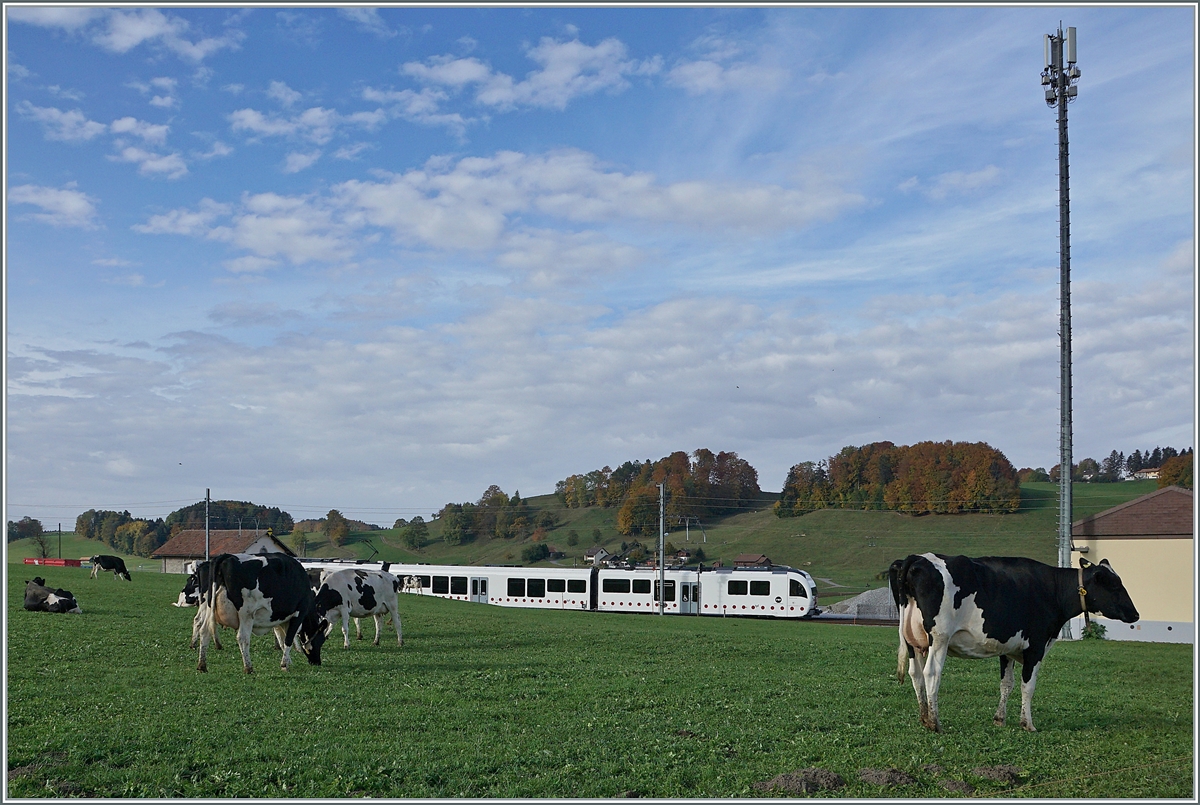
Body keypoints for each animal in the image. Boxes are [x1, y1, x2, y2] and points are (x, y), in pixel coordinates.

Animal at [196, 554, 328, 671]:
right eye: (321, 640)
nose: (317, 662)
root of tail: (226, 556)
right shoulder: (299, 613)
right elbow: (288, 639)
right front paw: (285, 664)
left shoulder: (279, 618)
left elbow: (281, 639)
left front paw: (288, 661)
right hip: (246, 614)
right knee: (242, 637)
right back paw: (248, 667)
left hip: (208, 606)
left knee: (204, 631)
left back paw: (202, 666)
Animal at [892, 554, 1142, 739]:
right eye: (1114, 585)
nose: (1136, 614)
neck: (1053, 590)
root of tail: (918, 558)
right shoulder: (1036, 647)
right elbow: (1027, 687)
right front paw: (1027, 724)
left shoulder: (1008, 647)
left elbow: (1006, 684)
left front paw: (999, 719)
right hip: (939, 637)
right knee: (931, 673)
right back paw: (935, 723)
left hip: (912, 641)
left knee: (916, 674)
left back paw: (924, 718)